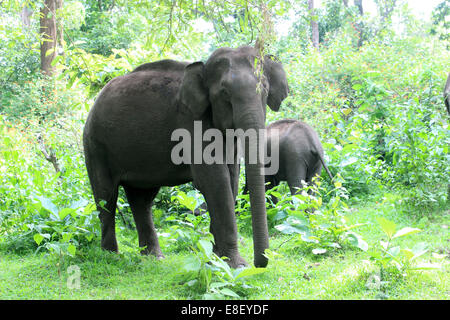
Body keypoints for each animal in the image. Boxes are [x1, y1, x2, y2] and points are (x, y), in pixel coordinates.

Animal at [83, 45, 288, 268]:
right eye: (224, 93)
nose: (260, 262)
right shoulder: (191, 123)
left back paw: (154, 257)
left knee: (141, 199)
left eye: (265, 90)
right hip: (95, 145)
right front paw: (235, 265)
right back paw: (111, 255)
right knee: (106, 197)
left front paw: (216, 259)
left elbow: (231, 180)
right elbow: (216, 181)